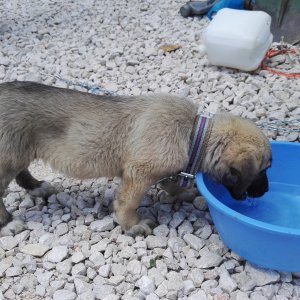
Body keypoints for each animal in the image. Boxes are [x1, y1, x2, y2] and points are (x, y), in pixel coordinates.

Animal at [0, 81, 272, 237]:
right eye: (263, 170)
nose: (265, 192)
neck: (194, 133)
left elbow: (172, 183)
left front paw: (182, 193)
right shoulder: (139, 173)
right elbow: (128, 203)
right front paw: (132, 226)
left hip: (20, 152)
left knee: (22, 173)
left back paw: (37, 187)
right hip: (9, 157)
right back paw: (7, 225)